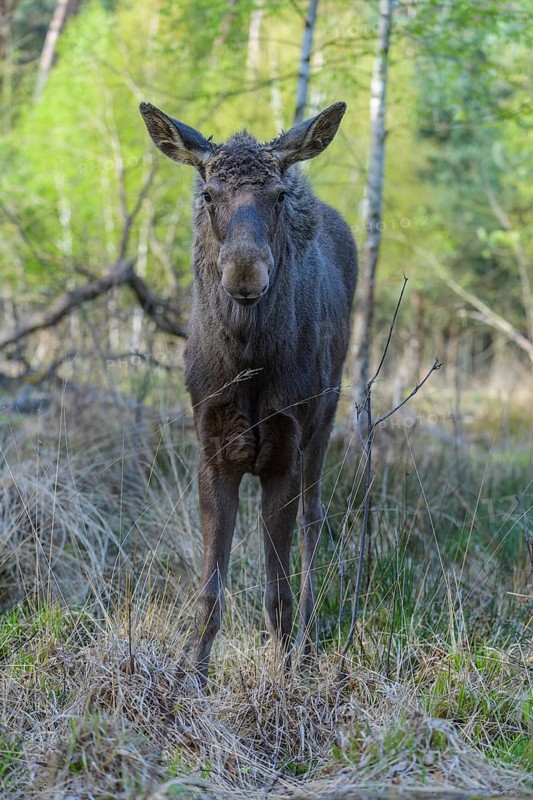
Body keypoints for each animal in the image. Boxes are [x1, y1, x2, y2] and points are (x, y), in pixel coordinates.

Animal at [140, 101, 357, 684]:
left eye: (277, 195)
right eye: (209, 194)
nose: (244, 270)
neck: (248, 366)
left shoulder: (286, 450)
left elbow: (276, 595)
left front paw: (286, 682)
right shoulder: (213, 453)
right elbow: (208, 594)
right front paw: (193, 681)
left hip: (325, 419)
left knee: (313, 524)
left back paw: (309, 647)